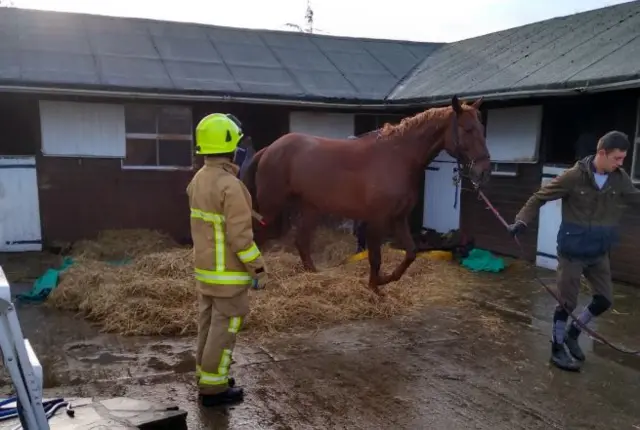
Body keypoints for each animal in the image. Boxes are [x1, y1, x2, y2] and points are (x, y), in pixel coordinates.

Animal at [242, 95, 488, 294]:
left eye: (482, 129)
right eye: (467, 129)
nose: (484, 170)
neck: (397, 157)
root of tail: (270, 149)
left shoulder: (399, 218)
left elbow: (411, 253)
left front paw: (385, 280)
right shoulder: (377, 220)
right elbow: (375, 257)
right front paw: (374, 287)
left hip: (309, 208)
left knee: (301, 242)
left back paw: (313, 275)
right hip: (270, 208)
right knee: (257, 237)